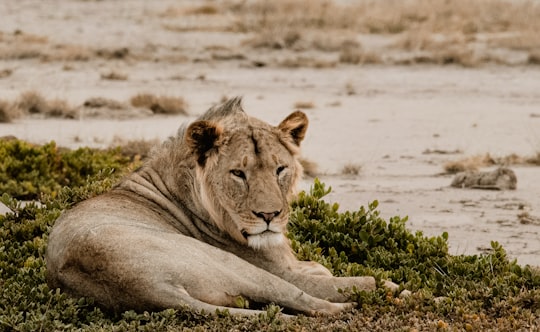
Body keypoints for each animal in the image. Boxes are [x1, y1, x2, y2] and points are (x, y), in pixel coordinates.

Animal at [46, 96, 384, 316]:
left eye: (280, 169)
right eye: (238, 173)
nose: (269, 215)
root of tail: (149, 288)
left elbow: (319, 268)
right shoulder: (281, 269)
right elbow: (334, 278)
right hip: (233, 265)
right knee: (319, 298)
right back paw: (361, 301)